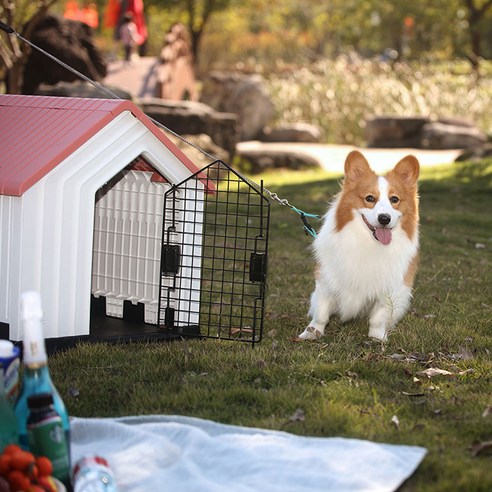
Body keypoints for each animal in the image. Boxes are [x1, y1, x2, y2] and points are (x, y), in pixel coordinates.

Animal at [300, 151, 418, 342]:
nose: (384, 219)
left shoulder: (390, 289)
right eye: (370, 198)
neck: (368, 242)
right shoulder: (326, 280)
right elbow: (321, 313)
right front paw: (312, 332)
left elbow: (379, 317)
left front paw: (377, 337)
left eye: (394, 200)